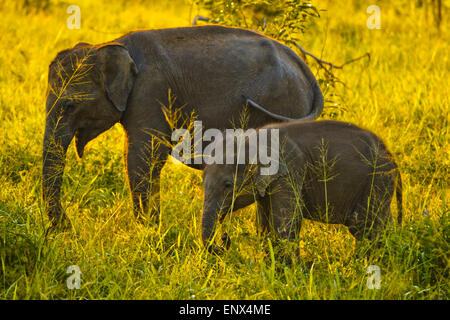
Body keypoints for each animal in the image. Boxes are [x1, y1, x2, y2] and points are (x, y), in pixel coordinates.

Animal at [43, 25, 324, 226]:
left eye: (69, 106)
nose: (67, 226)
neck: (112, 45)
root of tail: (304, 67)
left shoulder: (150, 90)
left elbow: (143, 155)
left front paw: (148, 231)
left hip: (284, 103)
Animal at [200, 120, 400, 255]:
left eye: (228, 185)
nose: (224, 237)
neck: (253, 139)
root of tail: (391, 155)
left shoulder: (291, 169)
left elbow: (286, 222)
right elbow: (264, 224)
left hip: (378, 180)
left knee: (365, 227)